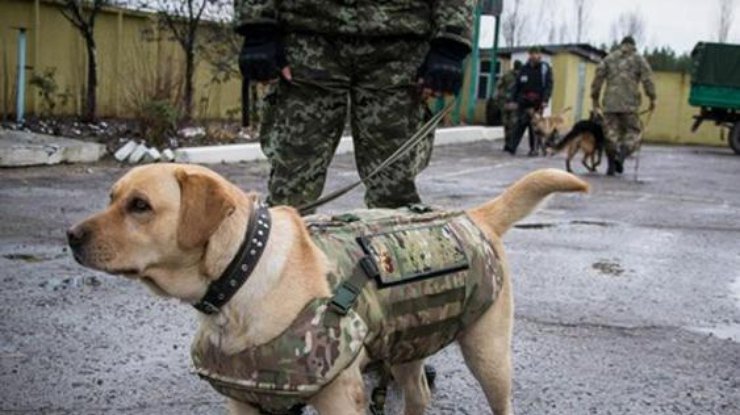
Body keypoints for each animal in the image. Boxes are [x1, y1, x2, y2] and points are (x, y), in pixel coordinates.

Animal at [69, 165, 588, 415]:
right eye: (111, 197)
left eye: (140, 206)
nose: (71, 235)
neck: (243, 271)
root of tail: (473, 216)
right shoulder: (246, 402)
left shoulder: (339, 399)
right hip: (407, 343)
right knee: (418, 395)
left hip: (489, 354)